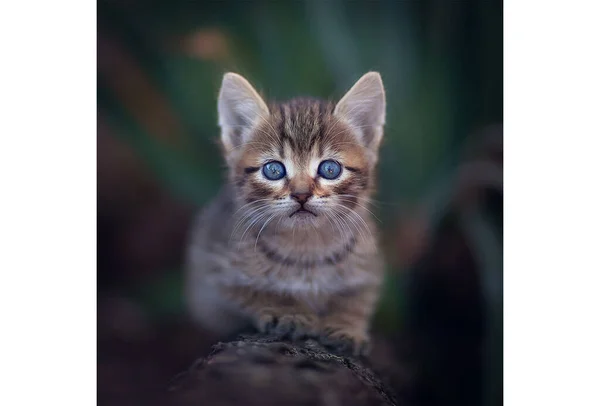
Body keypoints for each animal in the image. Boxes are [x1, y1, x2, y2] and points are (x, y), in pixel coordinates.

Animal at [185, 73, 386, 356]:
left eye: (330, 169)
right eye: (273, 170)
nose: (301, 195)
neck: (307, 246)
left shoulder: (369, 266)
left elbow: (356, 299)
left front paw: (346, 325)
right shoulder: (212, 269)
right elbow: (253, 290)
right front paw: (287, 310)